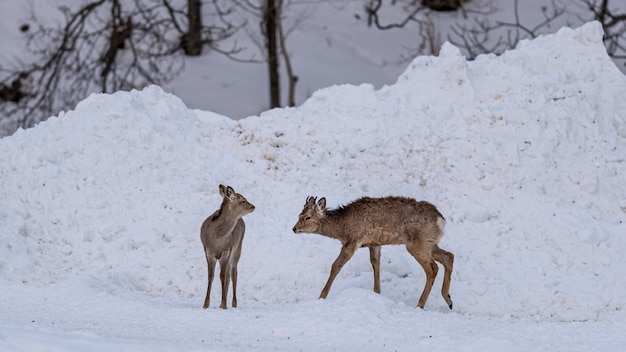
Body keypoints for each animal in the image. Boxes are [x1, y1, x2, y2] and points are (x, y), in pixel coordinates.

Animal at [292, 195, 454, 308]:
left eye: (307, 217)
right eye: (299, 214)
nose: (294, 228)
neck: (342, 228)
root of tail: (441, 220)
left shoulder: (353, 241)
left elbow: (336, 266)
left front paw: (321, 296)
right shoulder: (374, 244)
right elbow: (376, 265)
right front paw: (377, 293)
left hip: (417, 244)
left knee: (433, 268)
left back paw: (420, 304)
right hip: (430, 243)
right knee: (449, 256)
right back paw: (448, 299)